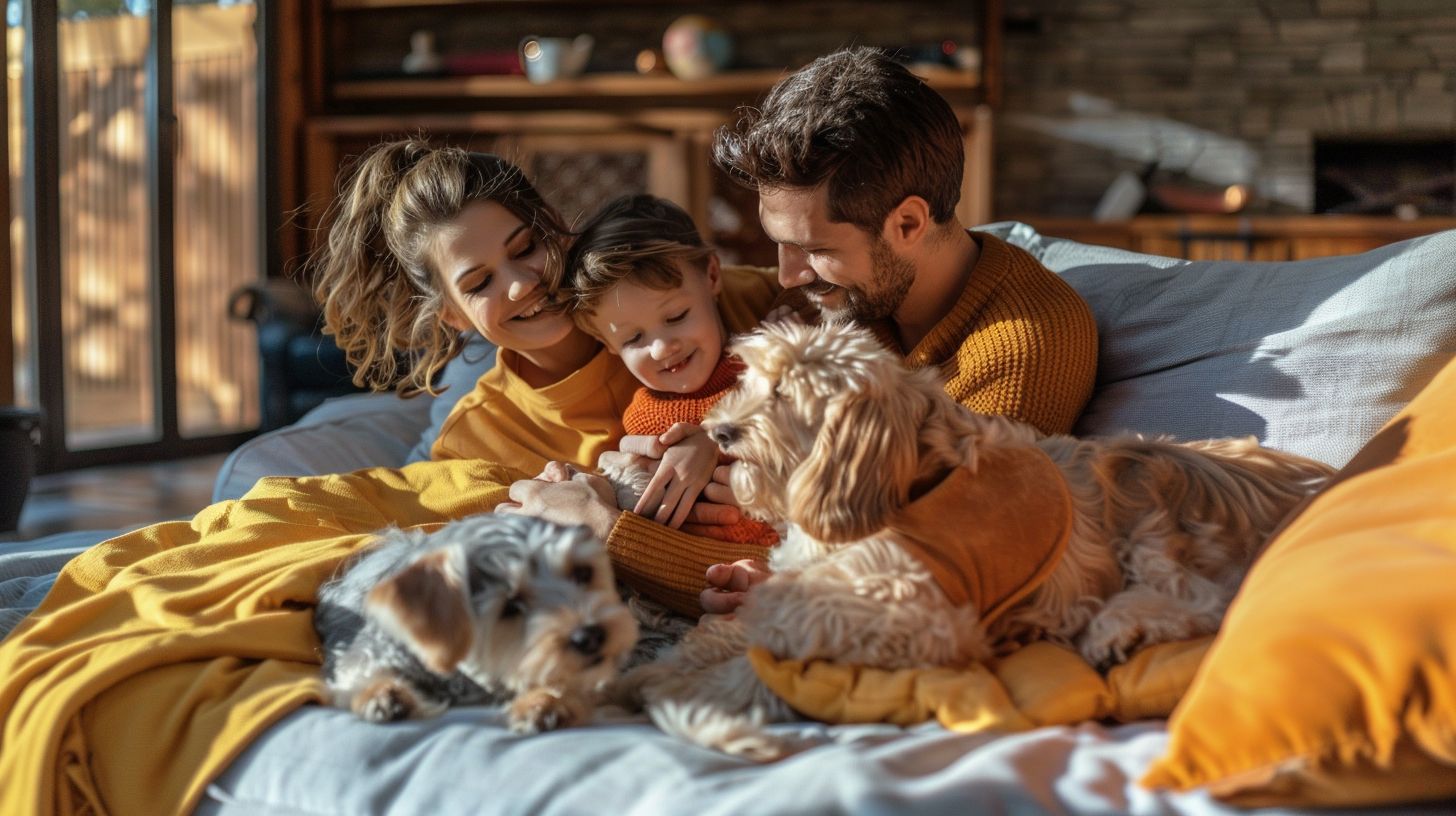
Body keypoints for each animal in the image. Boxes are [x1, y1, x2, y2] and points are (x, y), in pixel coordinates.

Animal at [313, 515, 637, 734]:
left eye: (583, 573)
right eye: (511, 606)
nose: (591, 635)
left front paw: (546, 701)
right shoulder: (364, 654)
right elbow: (356, 675)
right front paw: (382, 694)